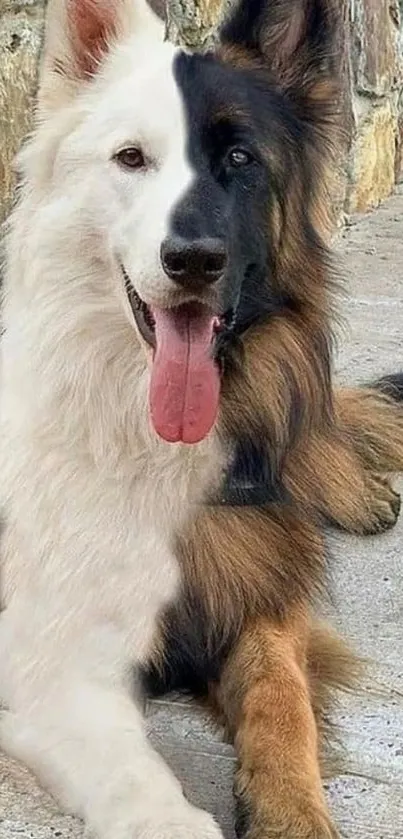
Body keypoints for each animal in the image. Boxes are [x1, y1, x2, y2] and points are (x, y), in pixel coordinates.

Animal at [0, 1, 403, 839]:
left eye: (239, 158)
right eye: (131, 159)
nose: (192, 260)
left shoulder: (257, 589)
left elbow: (283, 700)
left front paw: (291, 808)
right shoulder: (48, 640)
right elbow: (117, 751)